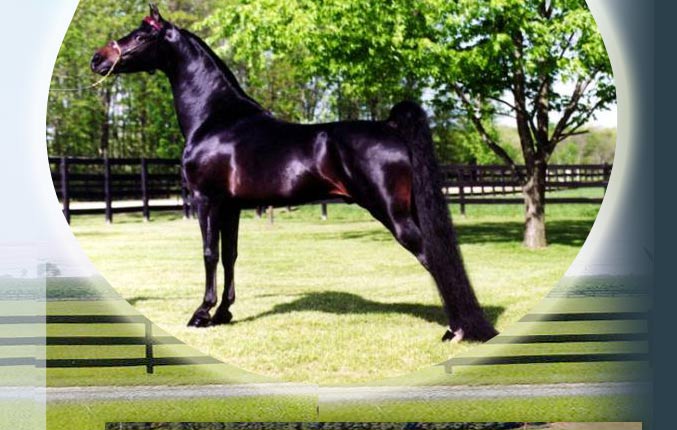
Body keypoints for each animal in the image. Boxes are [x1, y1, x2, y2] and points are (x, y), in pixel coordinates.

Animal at [90, 4, 498, 342]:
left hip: (394, 215)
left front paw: (201, 314)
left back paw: (458, 330)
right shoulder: (232, 207)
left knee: (434, 259)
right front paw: (223, 313)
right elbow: (230, 255)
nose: (98, 58)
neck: (215, 118)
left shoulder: (207, 201)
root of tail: (391, 126)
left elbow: (208, 253)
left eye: (140, 36)